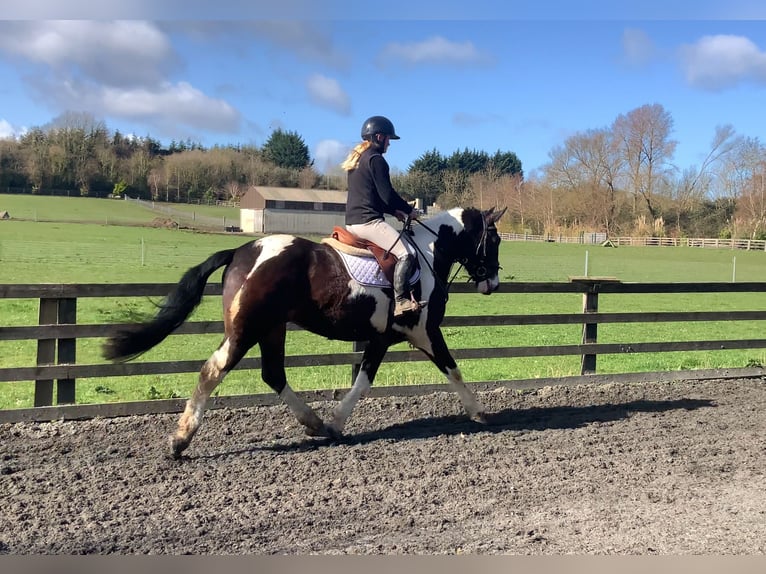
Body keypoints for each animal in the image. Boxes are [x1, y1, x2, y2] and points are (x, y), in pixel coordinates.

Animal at [103, 206, 507, 458]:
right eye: (495, 240)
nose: (493, 284)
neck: (427, 254)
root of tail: (241, 251)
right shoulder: (424, 331)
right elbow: (452, 369)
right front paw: (480, 413)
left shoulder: (380, 338)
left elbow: (363, 381)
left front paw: (334, 424)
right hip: (246, 330)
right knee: (213, 370)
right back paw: (180, 440)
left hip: (271, 328)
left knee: (273, 373)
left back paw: (313, 423)